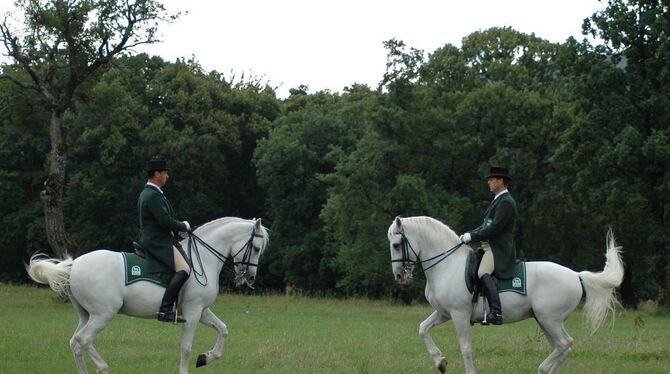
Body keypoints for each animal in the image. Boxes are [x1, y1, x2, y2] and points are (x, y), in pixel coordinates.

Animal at [26, 216, 268, 374]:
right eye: (256, 248)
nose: (250, 279)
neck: (204, 257)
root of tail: (75, 265)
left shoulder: (201, 311)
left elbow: (223, 330)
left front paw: (206, 358)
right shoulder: (193, 312)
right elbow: (186, 348)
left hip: (86, 315)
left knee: (75, 342)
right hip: (104, 314)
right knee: (84, 340)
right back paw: (103, 368)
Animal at [388, 216, 624, 374]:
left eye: (397, 244)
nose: (399, 276)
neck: (447, 265)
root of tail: (576, 275)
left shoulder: (459, 315)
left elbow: (466, 348)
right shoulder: (444, 313)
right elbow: (422, 329)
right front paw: (440, 362)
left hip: (549, 319)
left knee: (565, 344)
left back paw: (543, 368)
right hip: (545, 320)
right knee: (562, 347)